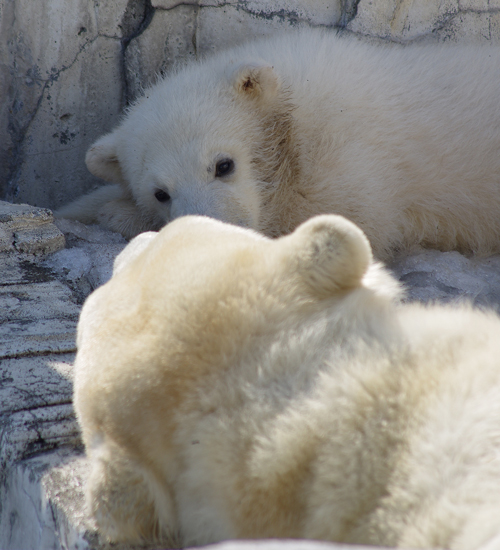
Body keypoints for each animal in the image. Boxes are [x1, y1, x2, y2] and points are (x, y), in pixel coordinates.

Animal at [58, 29, 500, 262]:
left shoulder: (345, 157)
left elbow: (345, 227)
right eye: (160, 193)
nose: (212, 239)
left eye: (223, 164)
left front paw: (118, 213)